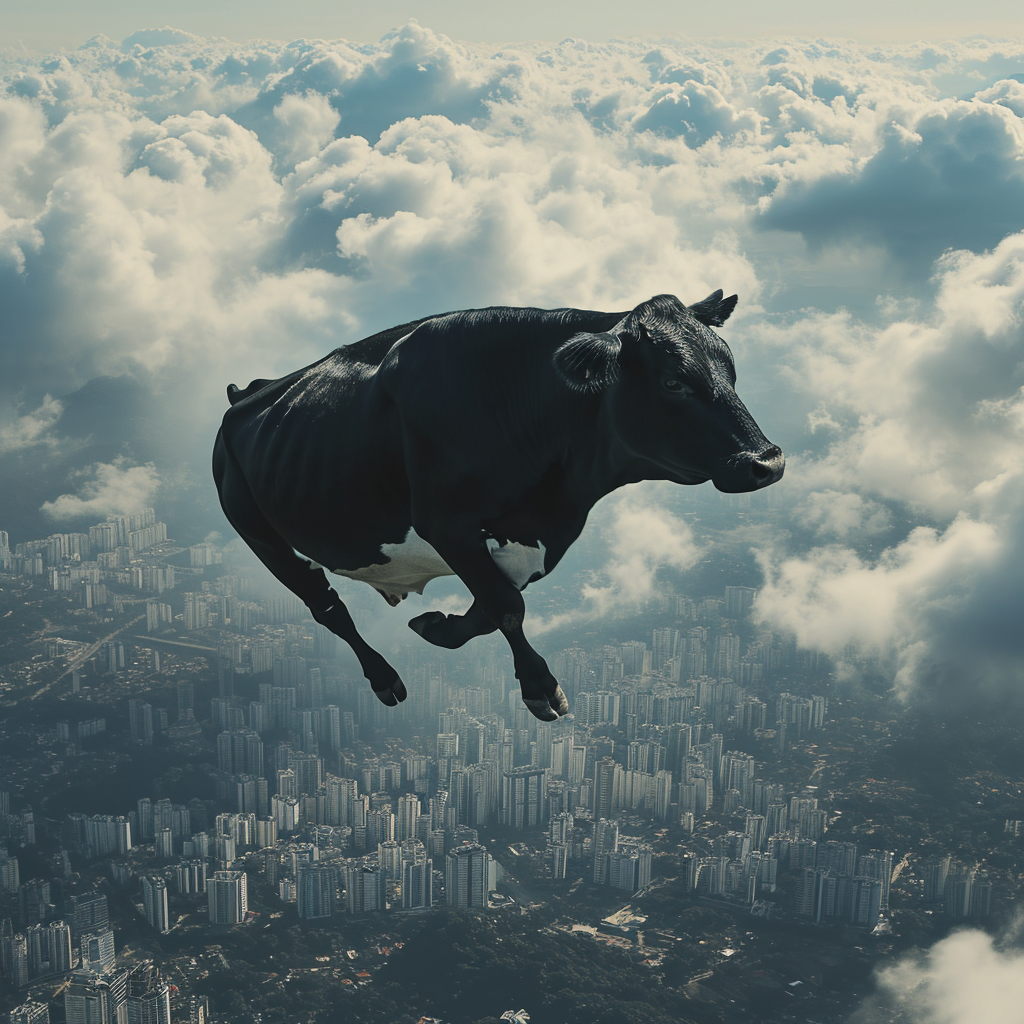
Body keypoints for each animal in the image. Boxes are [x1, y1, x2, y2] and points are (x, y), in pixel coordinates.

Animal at [209, 288, 782, 720]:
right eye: (673, 381)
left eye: (731, 370)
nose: (767, 461)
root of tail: (245, 394)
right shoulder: (445, 523)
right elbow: (507, 606)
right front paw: (540, 688)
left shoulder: (539, 533)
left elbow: (491, 607)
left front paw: (437, 627)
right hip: (262, 535)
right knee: (329, 609)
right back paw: (384, 678)